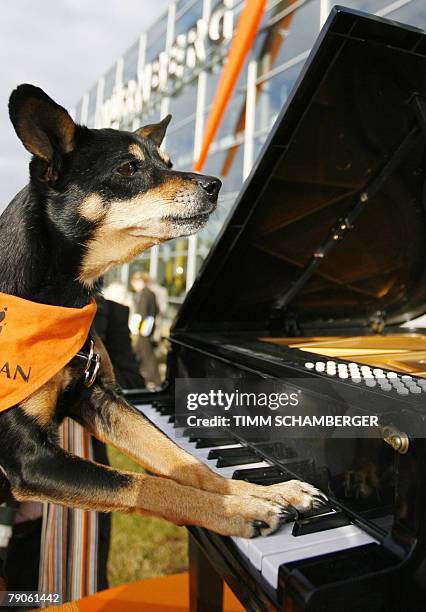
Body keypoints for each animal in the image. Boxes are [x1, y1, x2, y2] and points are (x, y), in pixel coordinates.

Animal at [0, 85, 324, 540]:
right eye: (128, 167)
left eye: (167, 164)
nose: (215, 184)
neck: (60, 295)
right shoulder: (29, 457)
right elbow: (147, 484)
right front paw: (240, 509)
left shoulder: (103, 399)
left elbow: (185, 462)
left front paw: (266, 491)